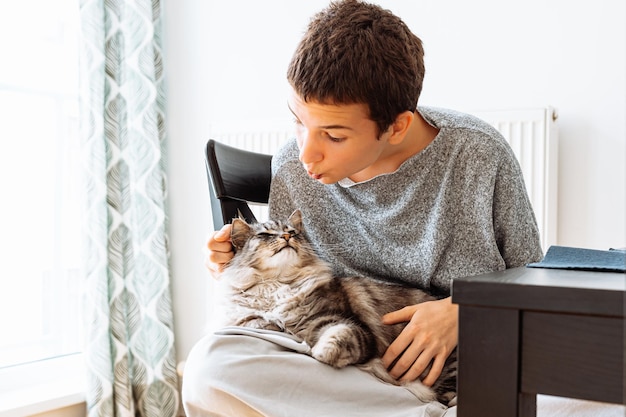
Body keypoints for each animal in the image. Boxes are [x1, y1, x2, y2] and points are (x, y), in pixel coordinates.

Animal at [218, 210, 454, 404]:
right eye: (266, 235)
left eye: (292, 232)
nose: (286, 237)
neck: (279, 283)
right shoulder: (250, 318)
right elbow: (258, 321)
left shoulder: (344, 323)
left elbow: (340, 333)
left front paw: (320, 352)